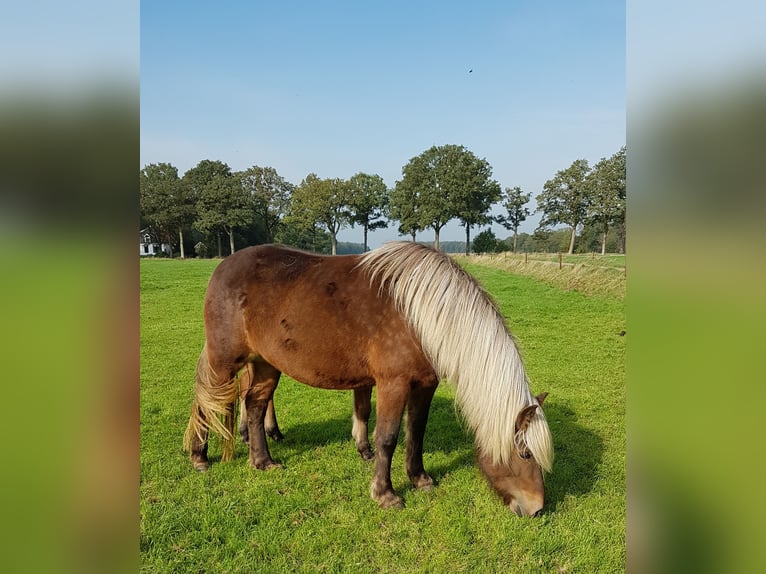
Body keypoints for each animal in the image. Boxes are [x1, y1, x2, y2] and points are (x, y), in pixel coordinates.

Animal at [183, 241, 556, 516]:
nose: (537, 509)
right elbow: (387, 438)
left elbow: (415, 432)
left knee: (255, 404)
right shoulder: (393, 383)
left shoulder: (425, 384)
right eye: (525, 454)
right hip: (225, 361)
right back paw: (200, 457)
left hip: (264, 364)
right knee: (207, 403)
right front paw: (385, 494)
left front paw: (419, 479)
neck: (420, 314)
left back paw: (263, 461)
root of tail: (223, 266)